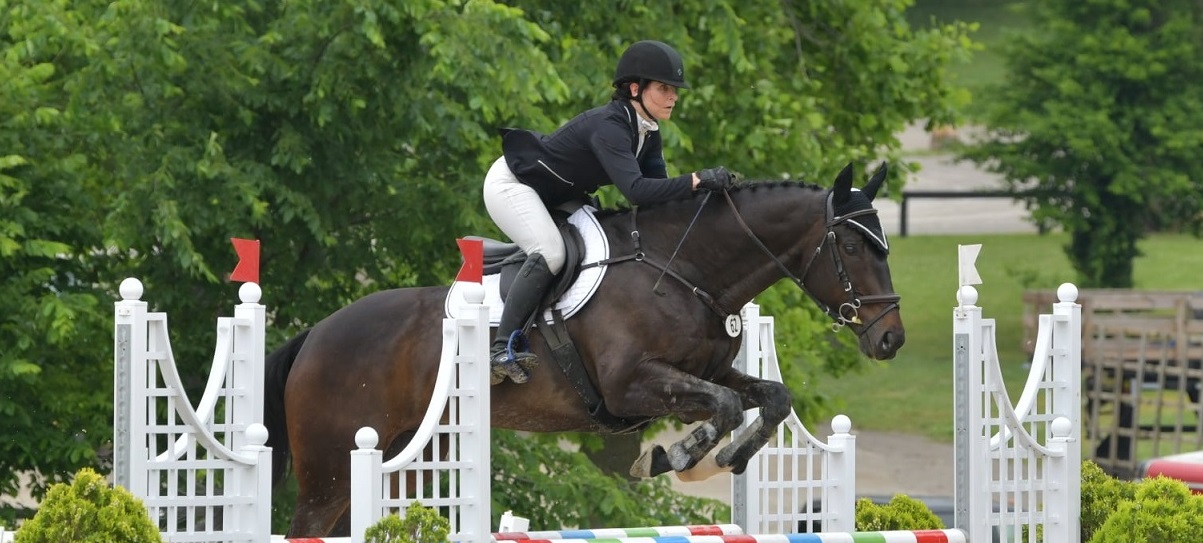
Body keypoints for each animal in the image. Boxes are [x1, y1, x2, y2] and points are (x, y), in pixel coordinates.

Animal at [263, 161, 904, 534]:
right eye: (851, 245)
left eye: (885, 245)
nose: (890, 338)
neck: (684, 270)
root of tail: (315, 334)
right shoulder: (631, 386)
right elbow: (721, 407)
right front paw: (673, 458)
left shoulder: (709, 373)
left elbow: (770, 397)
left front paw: (723, 458)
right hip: (332, 467)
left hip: (411, 459)